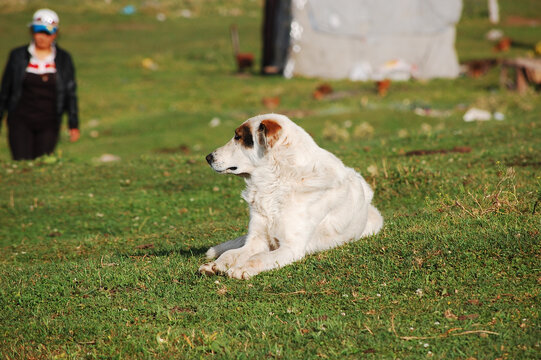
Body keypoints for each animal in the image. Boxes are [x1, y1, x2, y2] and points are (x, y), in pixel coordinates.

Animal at [199, 114, 384, 280]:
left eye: (238, 137)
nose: (208, 157)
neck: (276, 181)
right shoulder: (256, 240)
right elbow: (232, 253)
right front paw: (216, 265)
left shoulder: (291, 247)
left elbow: (259, 257)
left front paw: (241, 269)